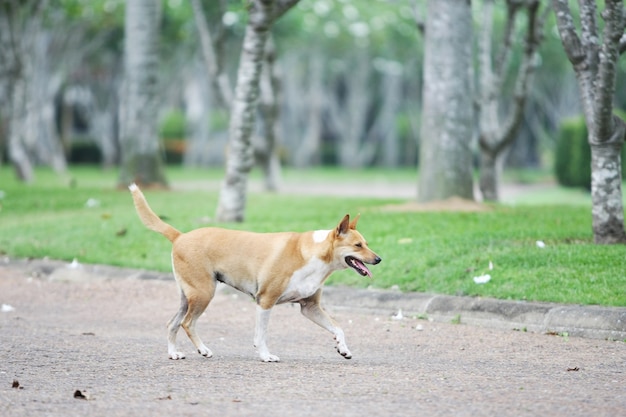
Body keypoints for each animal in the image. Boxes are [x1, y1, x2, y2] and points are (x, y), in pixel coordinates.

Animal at [127, 183, 380, 360]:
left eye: (366, 243)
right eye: (358, 245)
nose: (378, 259)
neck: (313, 253)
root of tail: (180, 236)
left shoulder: (310, 308)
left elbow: (338, 327)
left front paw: (343, 348)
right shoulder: (265, 301)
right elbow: (262, 335)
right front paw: (266, 356)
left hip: (188, 296)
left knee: (172, 323)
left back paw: (173, 353)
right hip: (203, 293)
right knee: (187, 324)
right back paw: (203, 349)